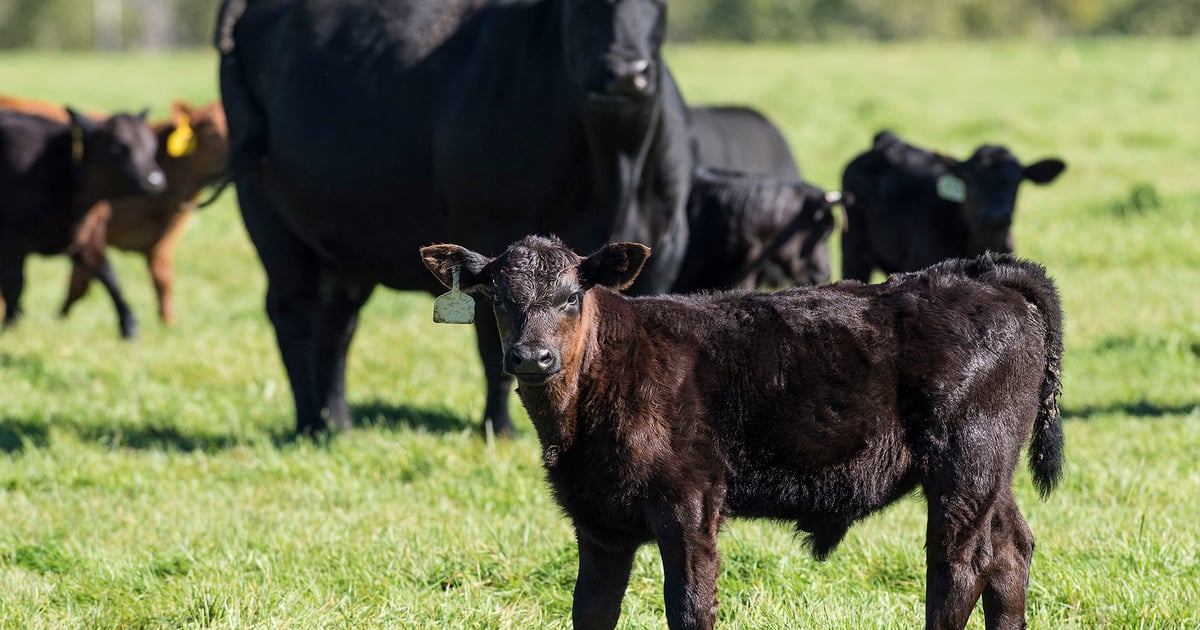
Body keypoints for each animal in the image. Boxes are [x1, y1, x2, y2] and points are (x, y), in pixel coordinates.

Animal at [0, 109, 166, 338]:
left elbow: (108, 274)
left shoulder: (87, 236)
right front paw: (11, 324)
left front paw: (129, 326)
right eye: (116, 146)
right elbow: (14, 286)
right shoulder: (11, 243)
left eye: (152, 145)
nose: (155, 181)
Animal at [61, 100, 229, 325]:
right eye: (211, 132)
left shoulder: (162, 242)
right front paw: (60, 320)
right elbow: (79, 284)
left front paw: (168, 324)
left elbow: (163, 281)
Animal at [217, 0, 697, 435]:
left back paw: (337, 423)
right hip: (269, 220)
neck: (615, 165)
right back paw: (309, 426)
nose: (626, 72)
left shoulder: (663, 250)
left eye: (658, 3)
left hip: (343, 251)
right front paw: (498, 430)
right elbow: (492, 350)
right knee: (293, 314)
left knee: (337, 324)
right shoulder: (487, 243)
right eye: (585, 4)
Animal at [421, 234, 1065, 630]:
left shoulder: (689, 501)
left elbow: (689, 606)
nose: (533, 357)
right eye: (498, 298)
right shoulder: (597, 520)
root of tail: (980, 272)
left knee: (959, 568)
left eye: (572, 296)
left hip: (966, 461)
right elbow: (591, 611)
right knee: (1011, 552)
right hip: (991, 473)